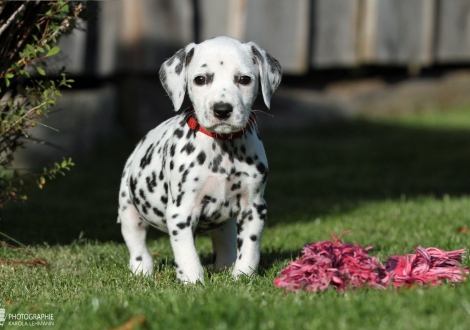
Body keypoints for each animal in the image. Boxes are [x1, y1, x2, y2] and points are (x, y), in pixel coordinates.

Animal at [117, 36, 282, 284]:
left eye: (244, 79)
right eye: (201, 79)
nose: (222, 110)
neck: (222, 149)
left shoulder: (253, 207)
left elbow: (250, 248)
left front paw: (242, 277)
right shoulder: (181, 211)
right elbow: (186, 252)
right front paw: (192, 281)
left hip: (226, 224)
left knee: (225, 244)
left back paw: (225, 267)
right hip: (128, 210)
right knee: (137, 246)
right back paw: (141, 270)